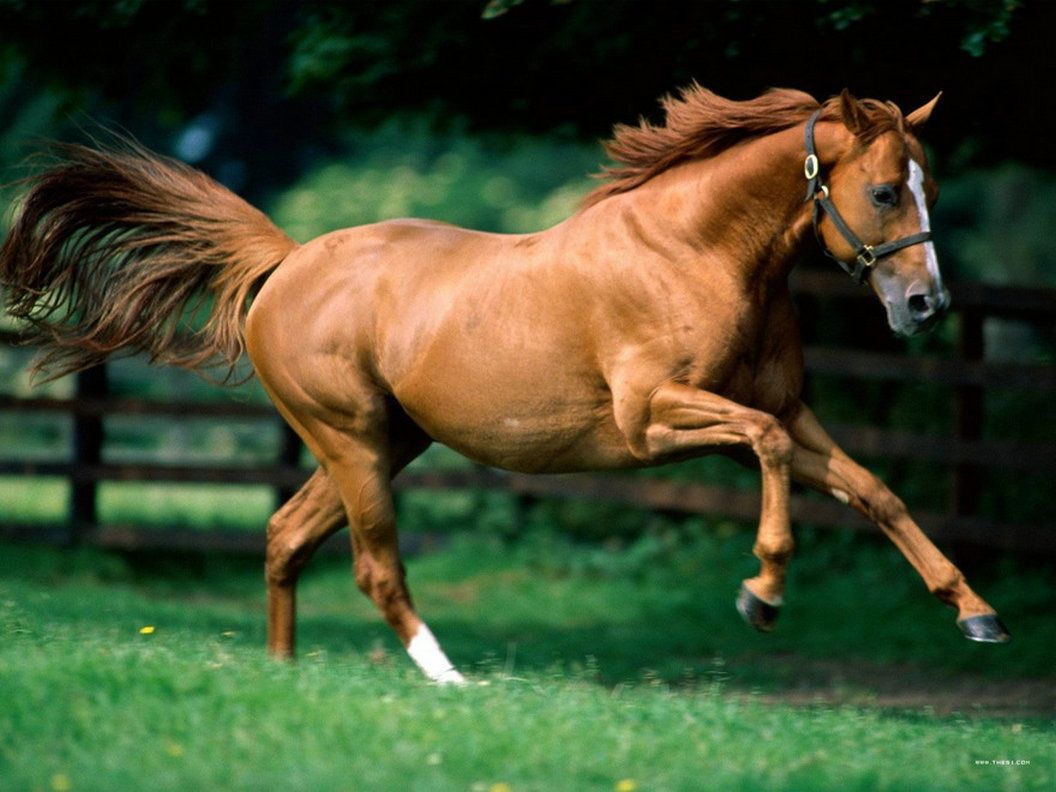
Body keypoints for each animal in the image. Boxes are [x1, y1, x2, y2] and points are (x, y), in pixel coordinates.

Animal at [0, 85, 1005, 684]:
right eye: (885, 191)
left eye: (930, 186)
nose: (926, 305)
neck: (695, 251)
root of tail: (286, 263)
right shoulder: (656, 422)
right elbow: (765, 455)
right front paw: (761, 594)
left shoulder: (789, 409)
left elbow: (874, 490)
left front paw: (976, 615)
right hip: (352, 441)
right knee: (372, 564)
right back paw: (448, 678)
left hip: (387, 442)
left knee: (286, 535)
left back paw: (284, 673)